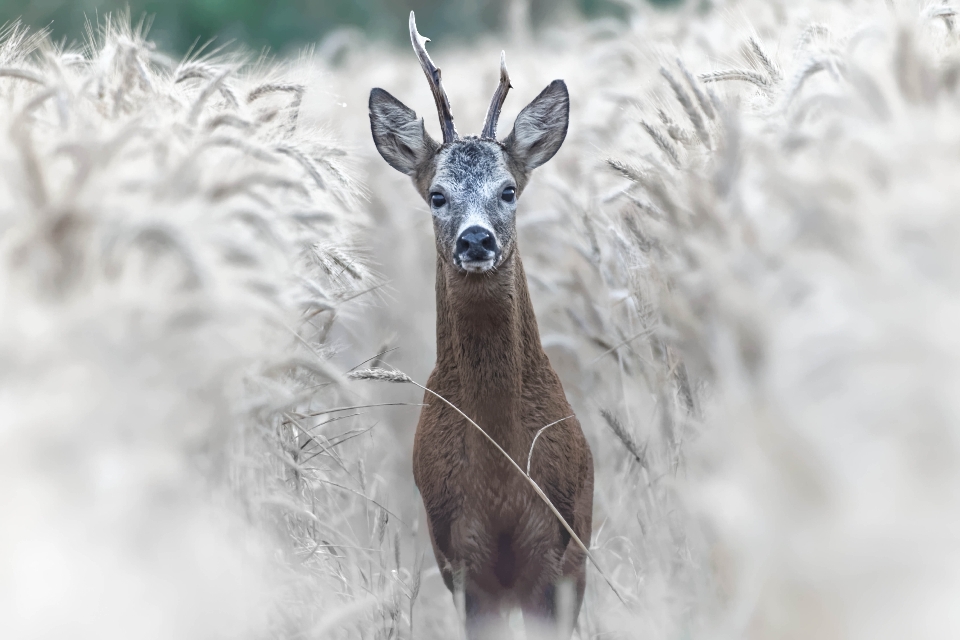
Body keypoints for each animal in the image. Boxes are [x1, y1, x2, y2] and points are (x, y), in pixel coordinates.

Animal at [368, 11, 592, 640]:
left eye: (509, 189)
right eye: (437, 195)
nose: (475, 240)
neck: (501, 481)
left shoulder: (557, 555)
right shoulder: (460, 562)